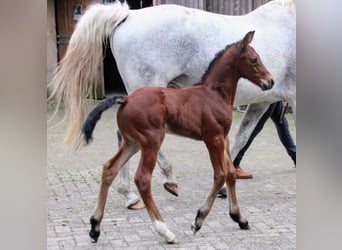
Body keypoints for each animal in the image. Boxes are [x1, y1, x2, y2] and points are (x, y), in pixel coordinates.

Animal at [82, 30, 272, 243]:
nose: (270, 81)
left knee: (109, 168)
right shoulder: (213, 138)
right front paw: (198, 220)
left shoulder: (224, 138)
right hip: (151, 142)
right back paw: (166, 231)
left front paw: (239, 218)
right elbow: (220, 175)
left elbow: (231, 173)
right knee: (142, 179)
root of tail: (126, 98)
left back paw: (95, 227)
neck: (214, 95)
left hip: (132, 142)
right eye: (254, 60)